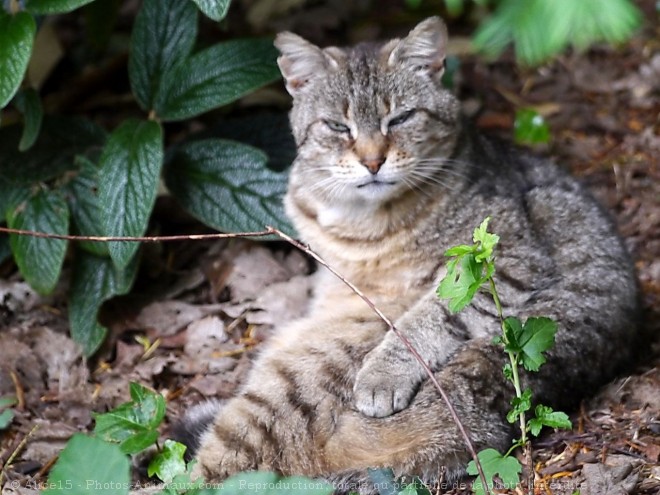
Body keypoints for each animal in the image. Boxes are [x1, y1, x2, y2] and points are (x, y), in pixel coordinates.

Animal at [183, 16, 636, 495]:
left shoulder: (504, 260)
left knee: (206, 473)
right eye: (338, 127)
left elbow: (428, 318)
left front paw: (382, 376)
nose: (372, 161)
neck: (359, 219)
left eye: (400, 117)